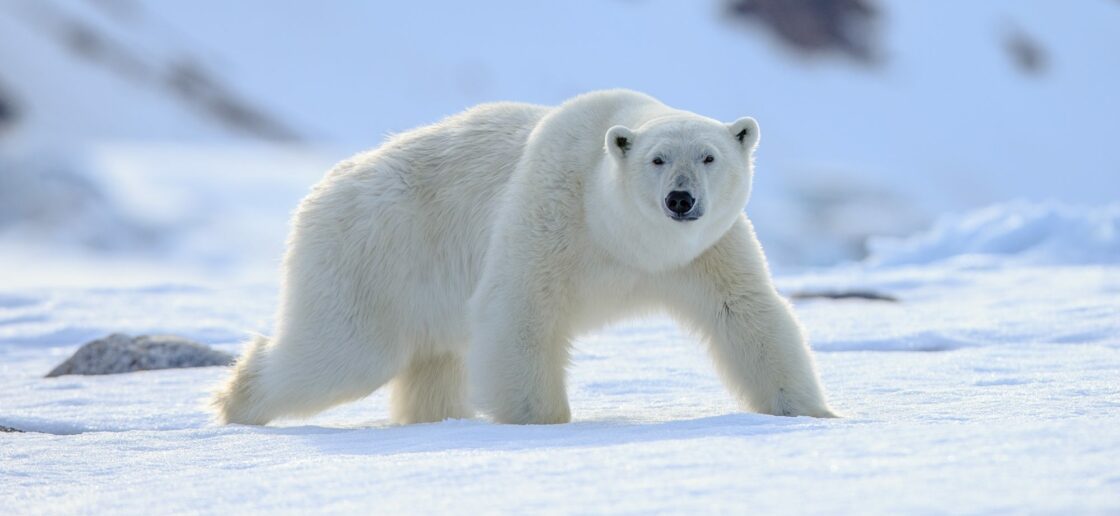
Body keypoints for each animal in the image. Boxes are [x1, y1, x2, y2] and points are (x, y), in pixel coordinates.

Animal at [213, 89, 837, 425]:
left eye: (709, 156)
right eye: (658, 159)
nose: (680, 200)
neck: (621, 237)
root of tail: (322, 190)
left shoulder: (706, 252)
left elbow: (747, 314)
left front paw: (812, 413)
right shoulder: (551, 211)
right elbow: (520, 310)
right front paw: (542, 422)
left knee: (432, 362)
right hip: (372, 254)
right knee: (342, 352)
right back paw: (235, 401)